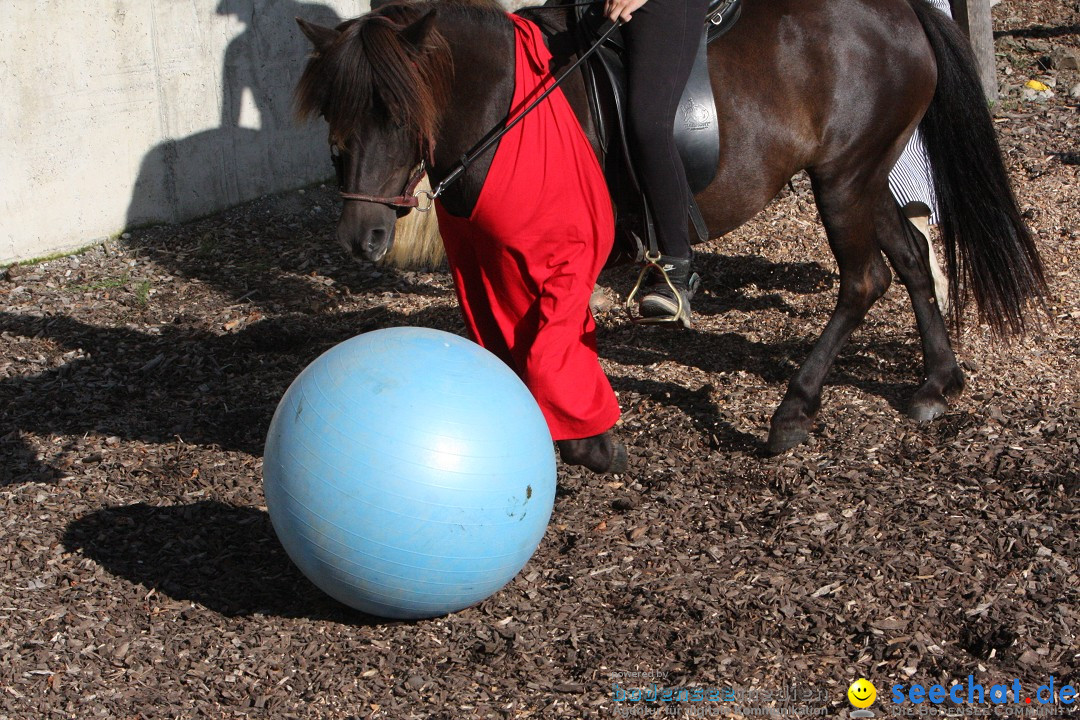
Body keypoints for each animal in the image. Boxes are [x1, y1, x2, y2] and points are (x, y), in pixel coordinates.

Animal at [295, 1, 1045, 455]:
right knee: (912, 256)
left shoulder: (561, 251)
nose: (360, 237)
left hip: (843, 178)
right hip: (862, 174)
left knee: (864, 280)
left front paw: (591, 440)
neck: (510, 106)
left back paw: (792, 411)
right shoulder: (490, 258)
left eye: (396, 112)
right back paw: (936, 384)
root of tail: (900, 12)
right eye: (333, 111)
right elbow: (509, 340)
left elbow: (548, 340)